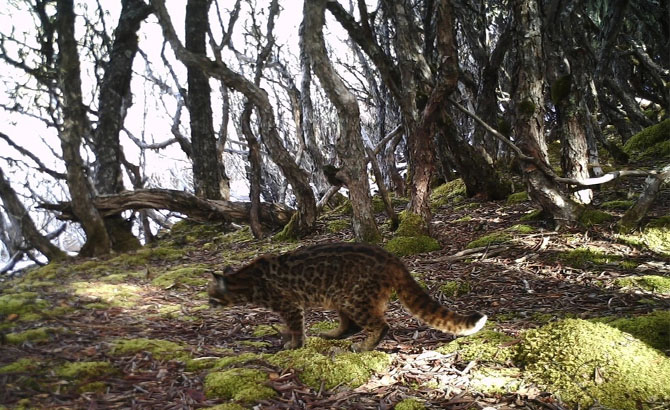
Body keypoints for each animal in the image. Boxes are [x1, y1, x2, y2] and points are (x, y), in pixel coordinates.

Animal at [207, 242, 486, 350]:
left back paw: (363, 347)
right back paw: (332, 335)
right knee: (351, 325)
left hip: (355, 298)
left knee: (381, 325)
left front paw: (294, 344)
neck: (246, 281)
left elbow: (297, 327)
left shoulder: (290, 306)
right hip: (340, 296)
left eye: (210, 294)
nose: (207, 303)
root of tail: (392, 257)